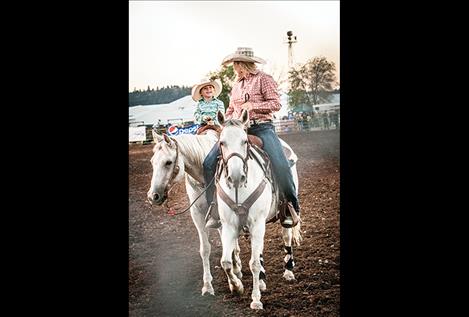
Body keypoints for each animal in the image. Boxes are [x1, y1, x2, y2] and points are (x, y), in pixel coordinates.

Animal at [215, 108, 302, 308]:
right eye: (222, 143)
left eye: (244, 141)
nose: (236, 175)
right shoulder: (229, 225)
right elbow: (226, 262)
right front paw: (237, 287)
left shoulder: (257, 222)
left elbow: (253, 263)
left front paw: (255, 300)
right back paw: (262, 280)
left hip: (283, 214)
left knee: (286, 236)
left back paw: (288, 270)